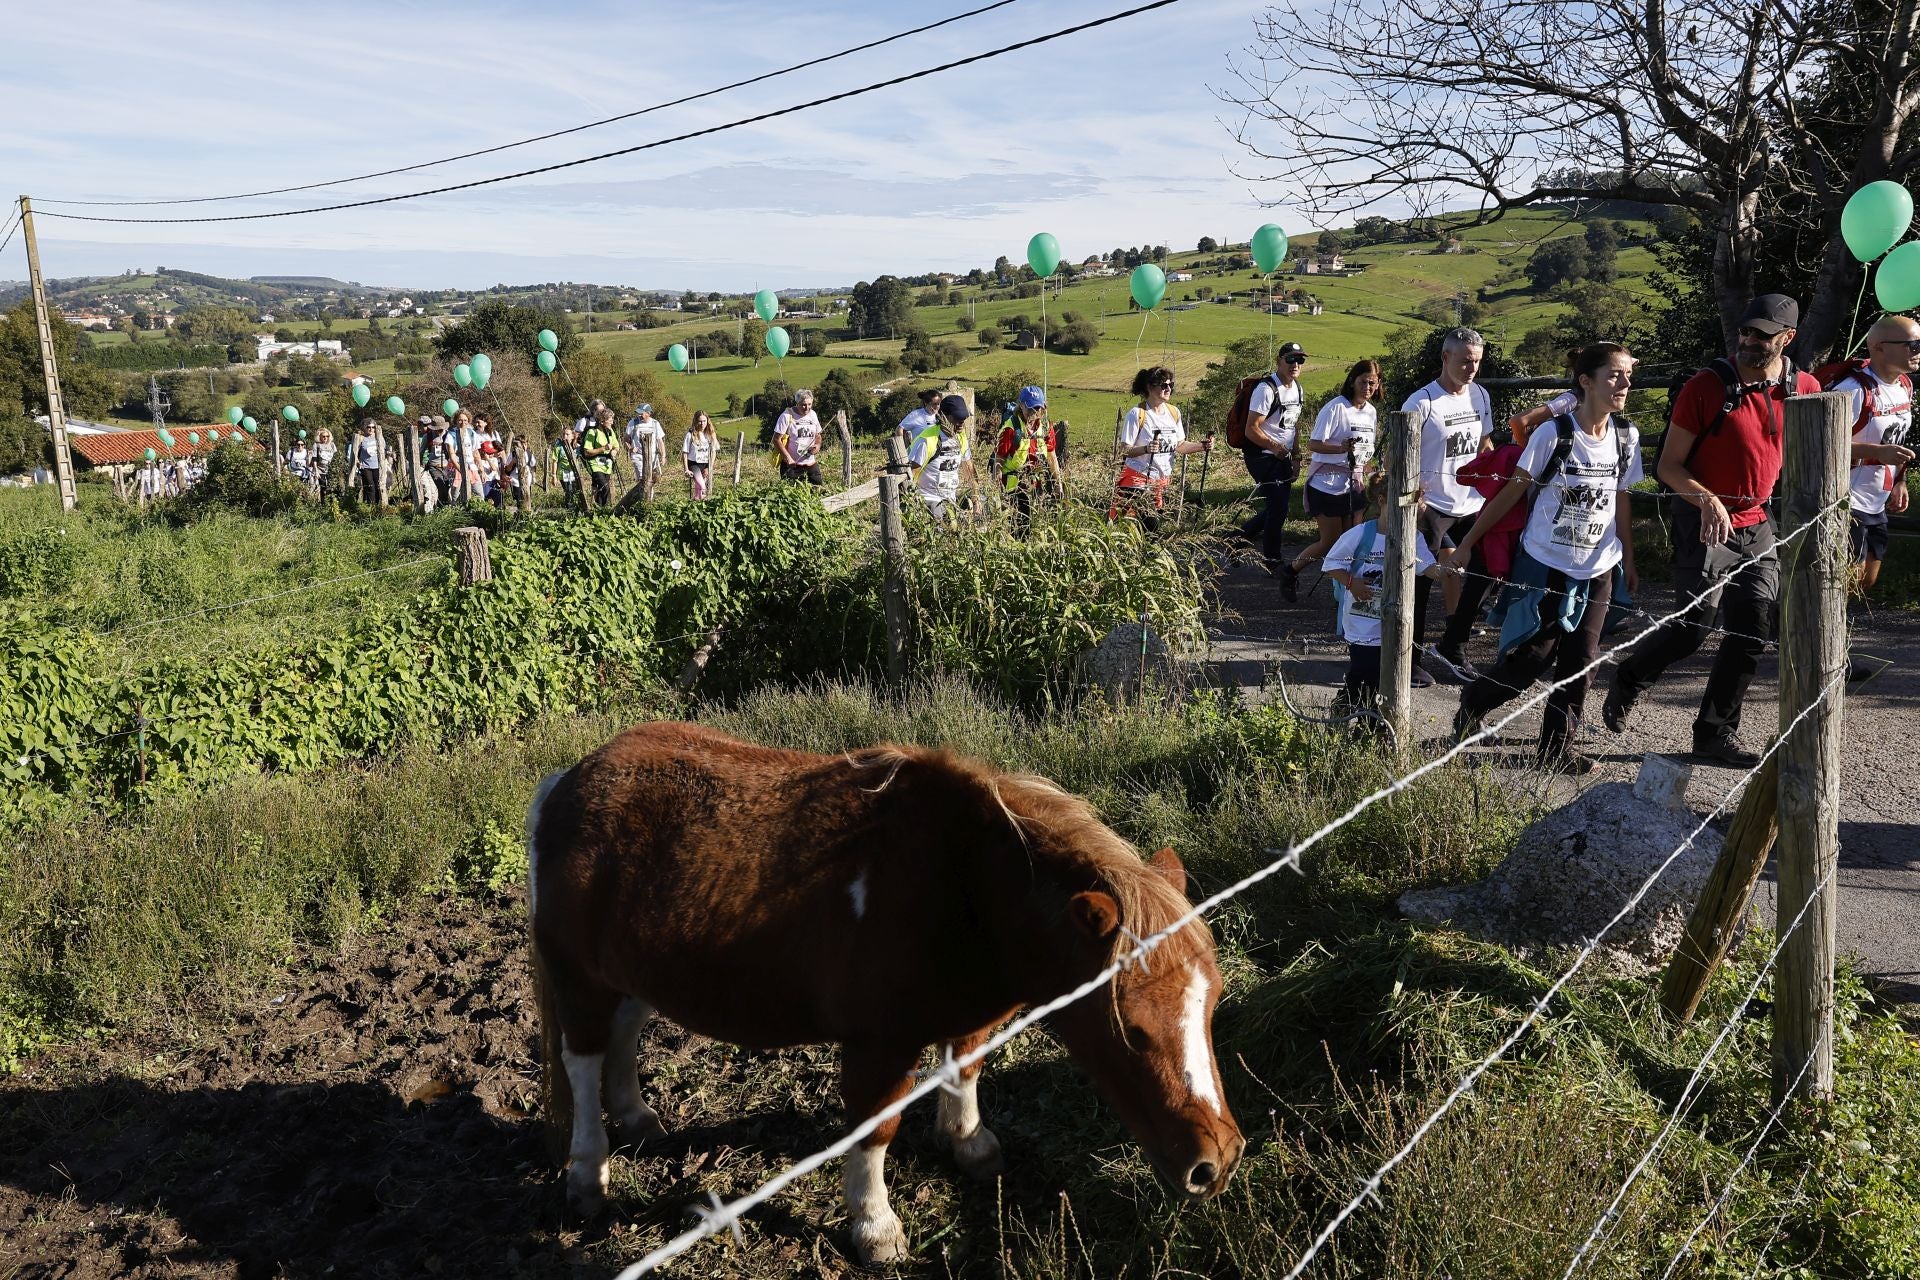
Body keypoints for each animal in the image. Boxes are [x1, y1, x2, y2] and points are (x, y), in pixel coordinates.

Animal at [526, 725, 1244, 1266]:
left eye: (1212, 1007)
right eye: (1132, 1030)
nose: (1217, 1162)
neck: (962, 888)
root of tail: (568, 781)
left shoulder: (972, 1016)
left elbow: (965, 1070)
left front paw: (968, 1143)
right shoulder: (878, 1046)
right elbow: (875, 1132)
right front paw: (875, 1228)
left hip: (633, 971)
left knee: (624, 1034)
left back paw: (638, 1119)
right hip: (579, 977)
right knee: (582, 1061)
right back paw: (588, 1174)